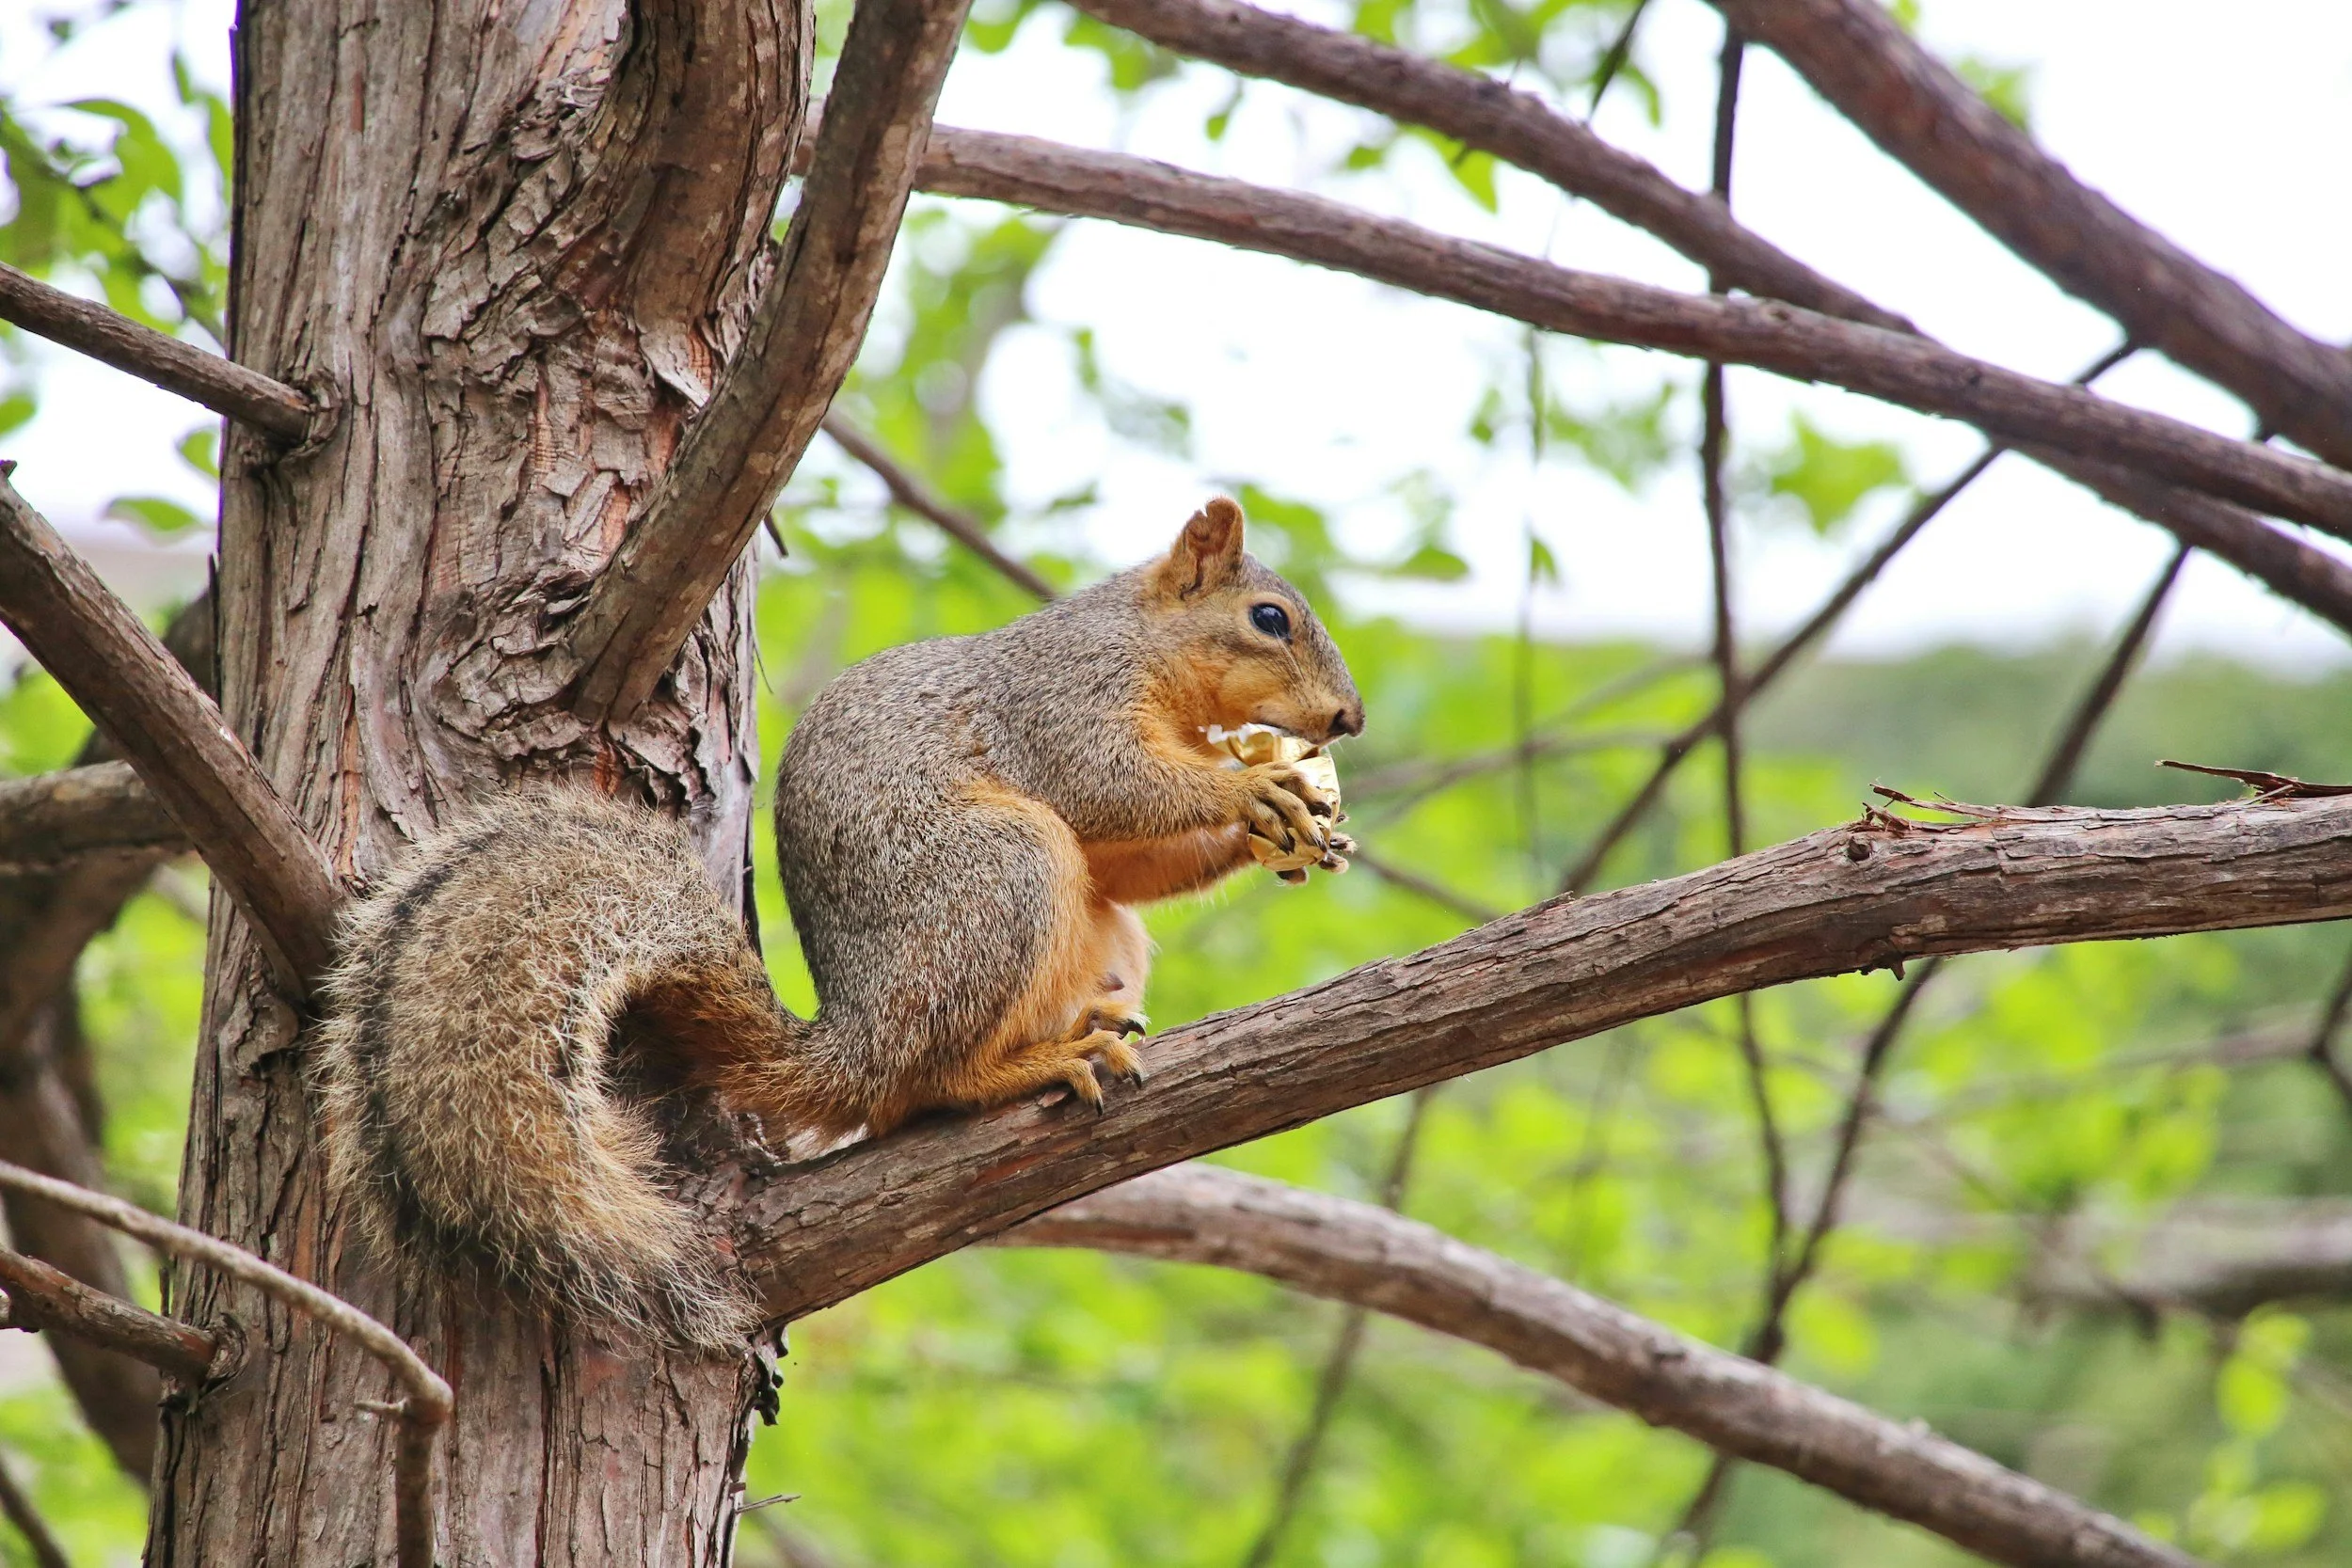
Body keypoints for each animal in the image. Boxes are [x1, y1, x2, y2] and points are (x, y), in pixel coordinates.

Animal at [316, 498, 1363, 1345]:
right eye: (1269, 618)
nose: (1347, 719)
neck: (1147, 646)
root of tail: (856, 1038)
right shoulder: (1063, 702)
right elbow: (1108, 786)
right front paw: (1253, 787)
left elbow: (1129, 860)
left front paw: (1288, 826)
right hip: (1002, 873)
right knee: (928, 1084)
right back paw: (1029, 1064)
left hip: (1092, 932)